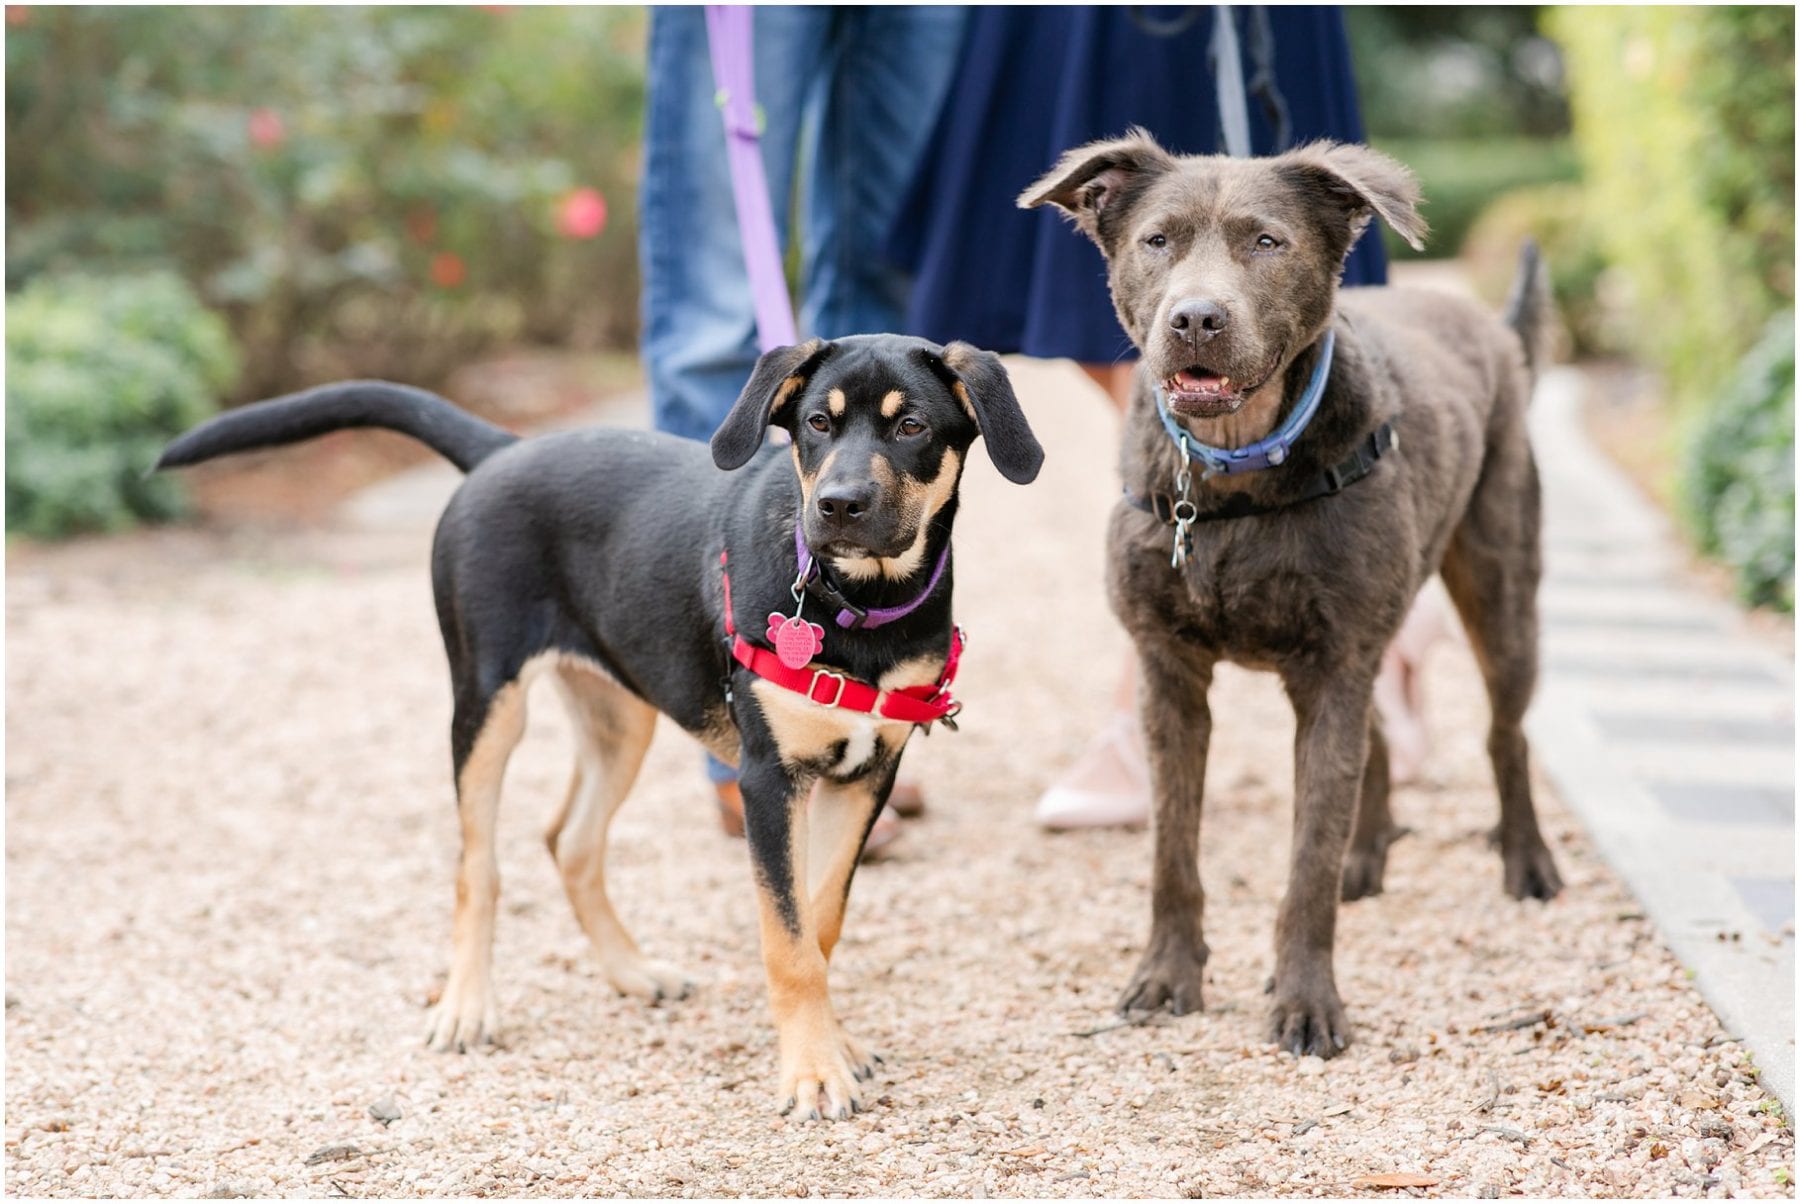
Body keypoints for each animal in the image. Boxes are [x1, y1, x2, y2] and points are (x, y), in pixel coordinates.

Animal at [165, 331, 1051, 1115]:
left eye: (911, 427)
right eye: (816, 424)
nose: (836, 506)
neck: (858, 606)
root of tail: (503, 450)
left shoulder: (866, 774)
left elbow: (820, 919)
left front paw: (833, 1045)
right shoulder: (767, 782)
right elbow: (788, 939)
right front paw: (811, 1073)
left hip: (619, 716)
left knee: (572, 841)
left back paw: (632, 972)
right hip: (486, 701)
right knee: (478, 865)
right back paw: (466, 1007)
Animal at [1029, 129, 1562, 1051]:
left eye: (1267, 241)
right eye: (1157, 240)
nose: (1196, 318)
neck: (1234, 468)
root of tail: (1488, 325)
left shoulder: (1332, 668)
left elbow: (1306, 855)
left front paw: (1307, 1000)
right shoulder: (1171, 676)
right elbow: (1172, 849)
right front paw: (1166, 975)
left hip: (1500, 591)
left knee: (1505, 733)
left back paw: (1525, 860)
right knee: (1379, 742)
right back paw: (1368, 856)